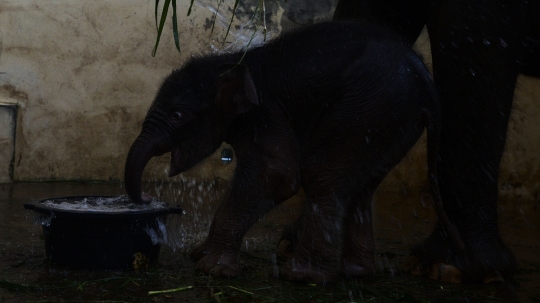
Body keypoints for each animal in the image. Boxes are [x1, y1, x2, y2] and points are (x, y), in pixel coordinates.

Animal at [123, 20, 464, 282]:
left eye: (177, 115)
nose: (147, 199)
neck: (232, 61)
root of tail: (426, 80)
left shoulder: (267, 114)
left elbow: (277, 175)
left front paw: (212, 269)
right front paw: (202, 255)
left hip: (370, 108)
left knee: (322, 175)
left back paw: (304, 276)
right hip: (394, 122)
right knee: (361, 186)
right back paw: (355, 272)